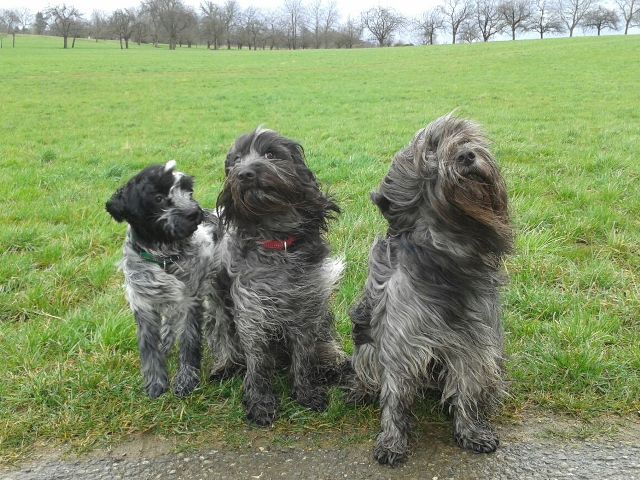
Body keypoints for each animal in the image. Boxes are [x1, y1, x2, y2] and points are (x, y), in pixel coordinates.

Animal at [106, 161, 219, 398]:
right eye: (158, 198)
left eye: (188, 192)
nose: (195, 213)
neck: (164, 257)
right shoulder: (143, 305)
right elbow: (149, 349)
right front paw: (155, 383)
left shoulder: (189, 302)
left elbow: (189, 342)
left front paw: (186, 381)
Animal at [209, 128, 350, 428]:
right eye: (235, 160)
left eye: (271, 154)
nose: (245, 174)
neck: (276, 242)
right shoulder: (252, 311)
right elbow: (258, 363)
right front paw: (260, 402)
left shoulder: (307, 307)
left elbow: (304, 357)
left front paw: (306, 392)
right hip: (217, 306)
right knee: (224, 338)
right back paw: (226, 366)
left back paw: (331, 364)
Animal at [348, 113, 512, 464]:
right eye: (432, 148)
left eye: (467, 139)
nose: (467, 155)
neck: (447, 251)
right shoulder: (402, 340)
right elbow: (395, 397)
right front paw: (392, 441)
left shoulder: (473, 340)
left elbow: (467, 387)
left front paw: (471, 432)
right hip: (367, 346)